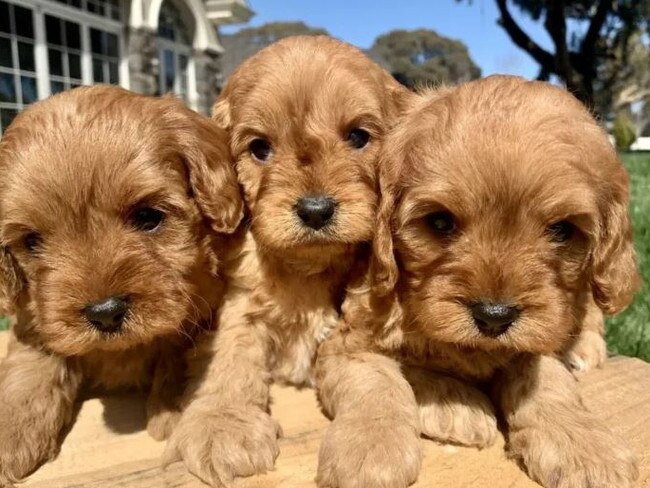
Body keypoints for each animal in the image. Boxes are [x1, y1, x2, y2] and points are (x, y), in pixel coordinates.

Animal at [0, 85, 242, 484]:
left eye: (148, 217)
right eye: (31, 242)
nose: (105, 313)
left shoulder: (200, 303)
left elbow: (175, 347)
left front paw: (169, 410)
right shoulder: (36, 315)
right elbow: (30, 366)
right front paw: (10, 430)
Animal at [162, 36, 404, 486]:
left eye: (358, 137)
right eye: (259, 148)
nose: (315, 210)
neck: (306, 268)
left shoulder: (354, 328)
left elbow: (371, 375)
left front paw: (372, 442)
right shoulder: (240, 304)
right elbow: (229, 358)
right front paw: (222, 422)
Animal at [314, 75, 636, 488]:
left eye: (562, 230)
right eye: (440, 222)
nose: (494, 317)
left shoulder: (540, 334)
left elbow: (545, 377)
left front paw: (584, 446)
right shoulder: (345, 343)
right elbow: (377, 378)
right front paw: (372, 451)